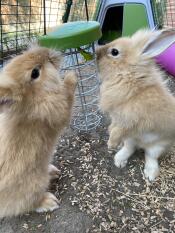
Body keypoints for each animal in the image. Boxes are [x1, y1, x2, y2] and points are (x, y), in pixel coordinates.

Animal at [0, 45, 77, 217]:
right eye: (35, 73)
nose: (46, 52)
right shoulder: (58, 110)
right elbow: (67, 96)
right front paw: (71, 77)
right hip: (33, 186)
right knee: (23, 205)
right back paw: (49, 202)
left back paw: (53, 172)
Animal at [97, 28, 175, 182]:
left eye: (114, 52)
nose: (96, 54)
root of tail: (142, 145)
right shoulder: (117, 119)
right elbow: (113, 127)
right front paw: (110, 139)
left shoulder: (132, 122)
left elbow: (118, 130)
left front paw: (111, 143)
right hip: (130, 139)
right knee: (130, 148)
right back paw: (119, 160)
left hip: (156, 146)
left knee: (150, 156)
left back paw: (150, 174)